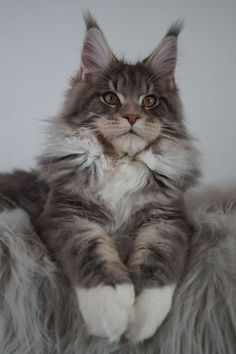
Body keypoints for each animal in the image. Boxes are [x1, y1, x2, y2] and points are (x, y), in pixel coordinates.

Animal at [36, 12, 199, 344]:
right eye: (111, 98)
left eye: (149, 101)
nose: (132, 116)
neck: (121, 160)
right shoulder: (66, 214)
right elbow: (92, 250)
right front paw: (110, 308)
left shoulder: (167, 219)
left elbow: (157, 261)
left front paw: (142, 317)